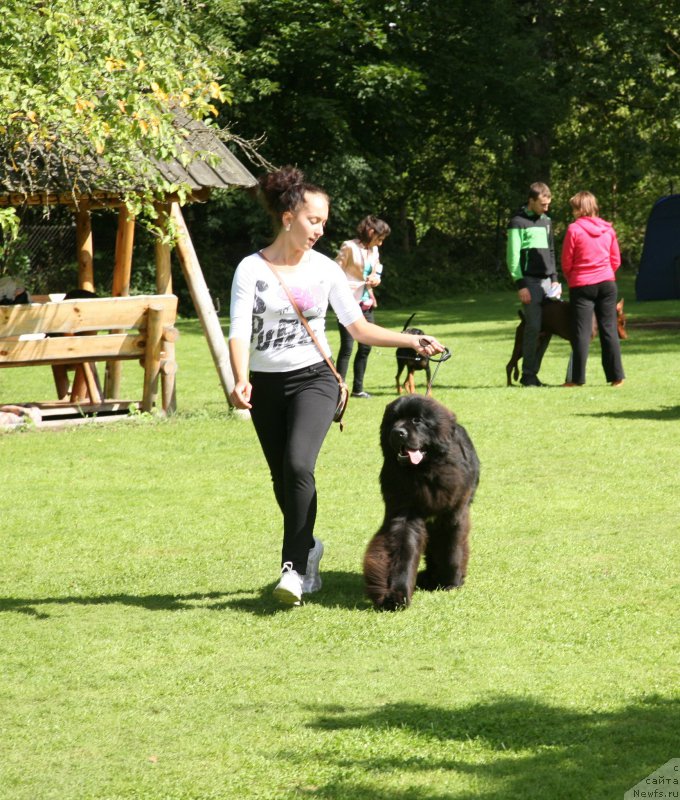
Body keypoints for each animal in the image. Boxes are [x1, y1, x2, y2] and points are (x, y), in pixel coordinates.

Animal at [364, 396, 480, 612]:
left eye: (417, 420)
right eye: (394, 419)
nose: (398, 432)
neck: (424, 472)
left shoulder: (453, 515)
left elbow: (452, 547)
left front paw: (451, 581)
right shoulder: (405, 513)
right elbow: (402, 551)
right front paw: (395, 595)